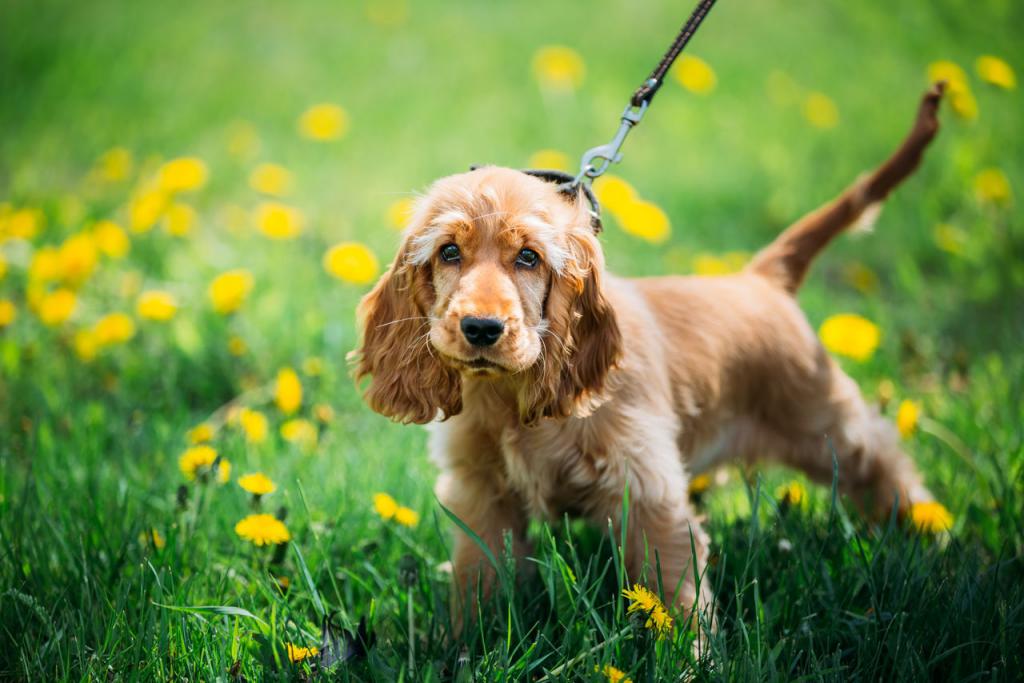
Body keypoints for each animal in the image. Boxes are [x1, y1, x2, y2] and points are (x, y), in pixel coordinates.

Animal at [356, 82, 946, 626]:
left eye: (528, 257)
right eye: (449, 252)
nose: (481, 328)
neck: (512, 398)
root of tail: (761, 279)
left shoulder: (647, 491)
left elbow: (674, 594)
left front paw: (693, 658)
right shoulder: (482, 493)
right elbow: (480, 582)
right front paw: (466, 646)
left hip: (823, 423)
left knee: (882, 459)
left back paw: (929, 529)